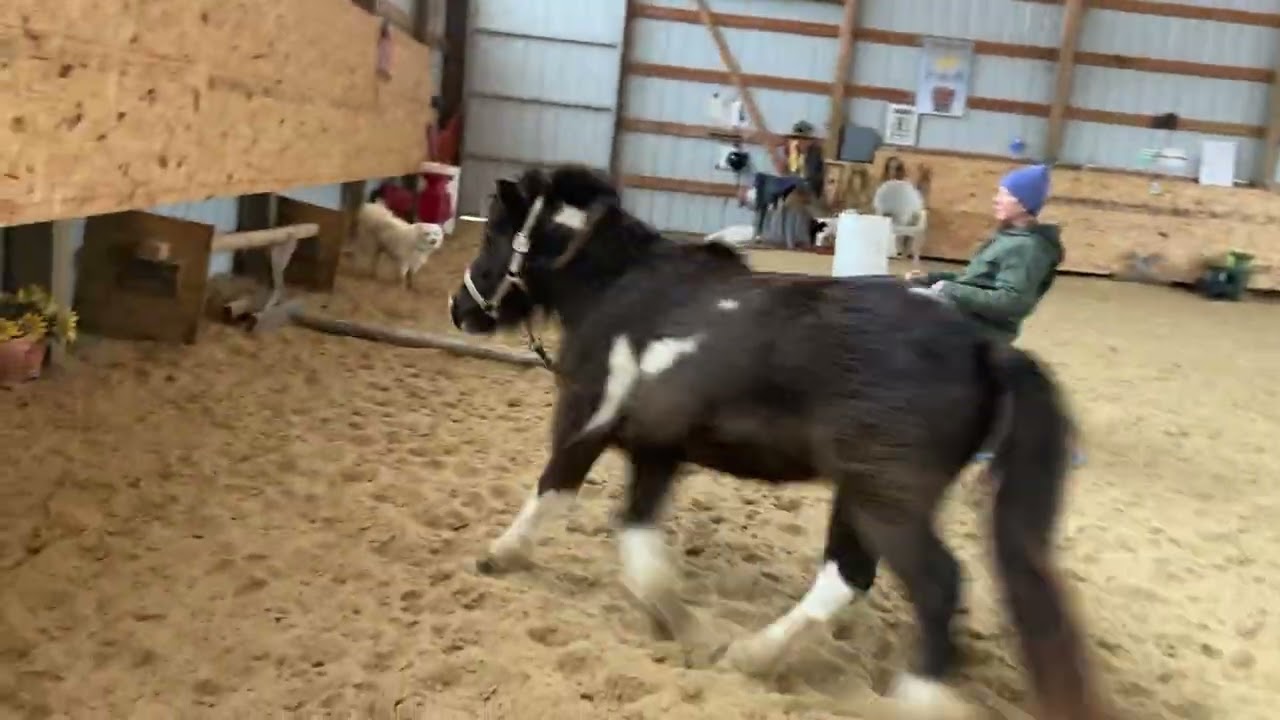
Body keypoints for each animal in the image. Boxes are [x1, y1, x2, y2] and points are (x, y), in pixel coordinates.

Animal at [447, 165, 1106, 720]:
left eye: (495, 235)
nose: (460, 309)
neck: (623, 293)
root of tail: (983, 348)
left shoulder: (586, 421)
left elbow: (552, 490)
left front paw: (499, 555)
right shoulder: (657, 450)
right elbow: (636, 534)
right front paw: (677, 621)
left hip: (888, 501)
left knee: (937, 585)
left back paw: (915, 697)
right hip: (859, 495)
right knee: (847, 576)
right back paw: (752, 655)